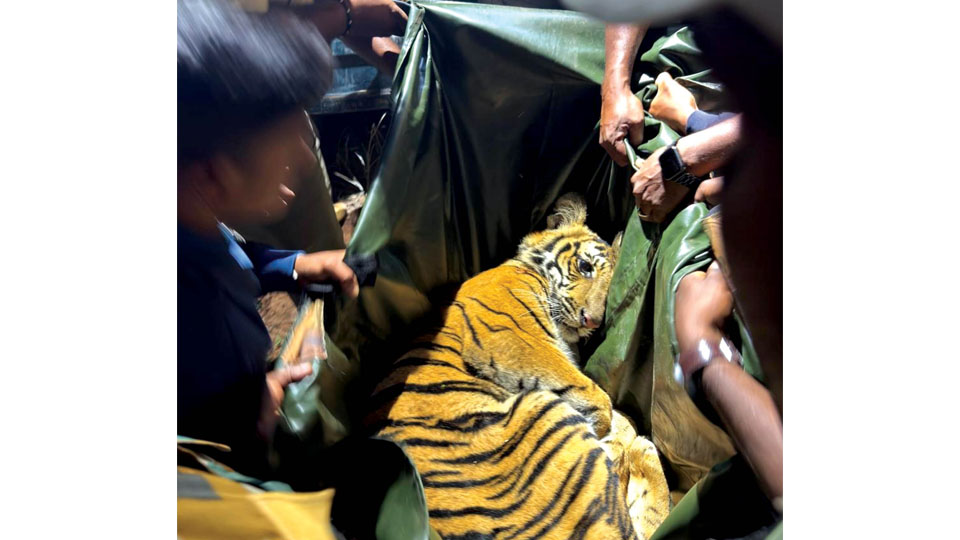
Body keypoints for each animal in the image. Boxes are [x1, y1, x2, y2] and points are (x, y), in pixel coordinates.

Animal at [365, 194, 671, 539]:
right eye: (585, 267)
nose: (591, 322)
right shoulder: (515, 336)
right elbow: (591, 391)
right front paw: (605, 423)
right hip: (544, 415)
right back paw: (635, 444)